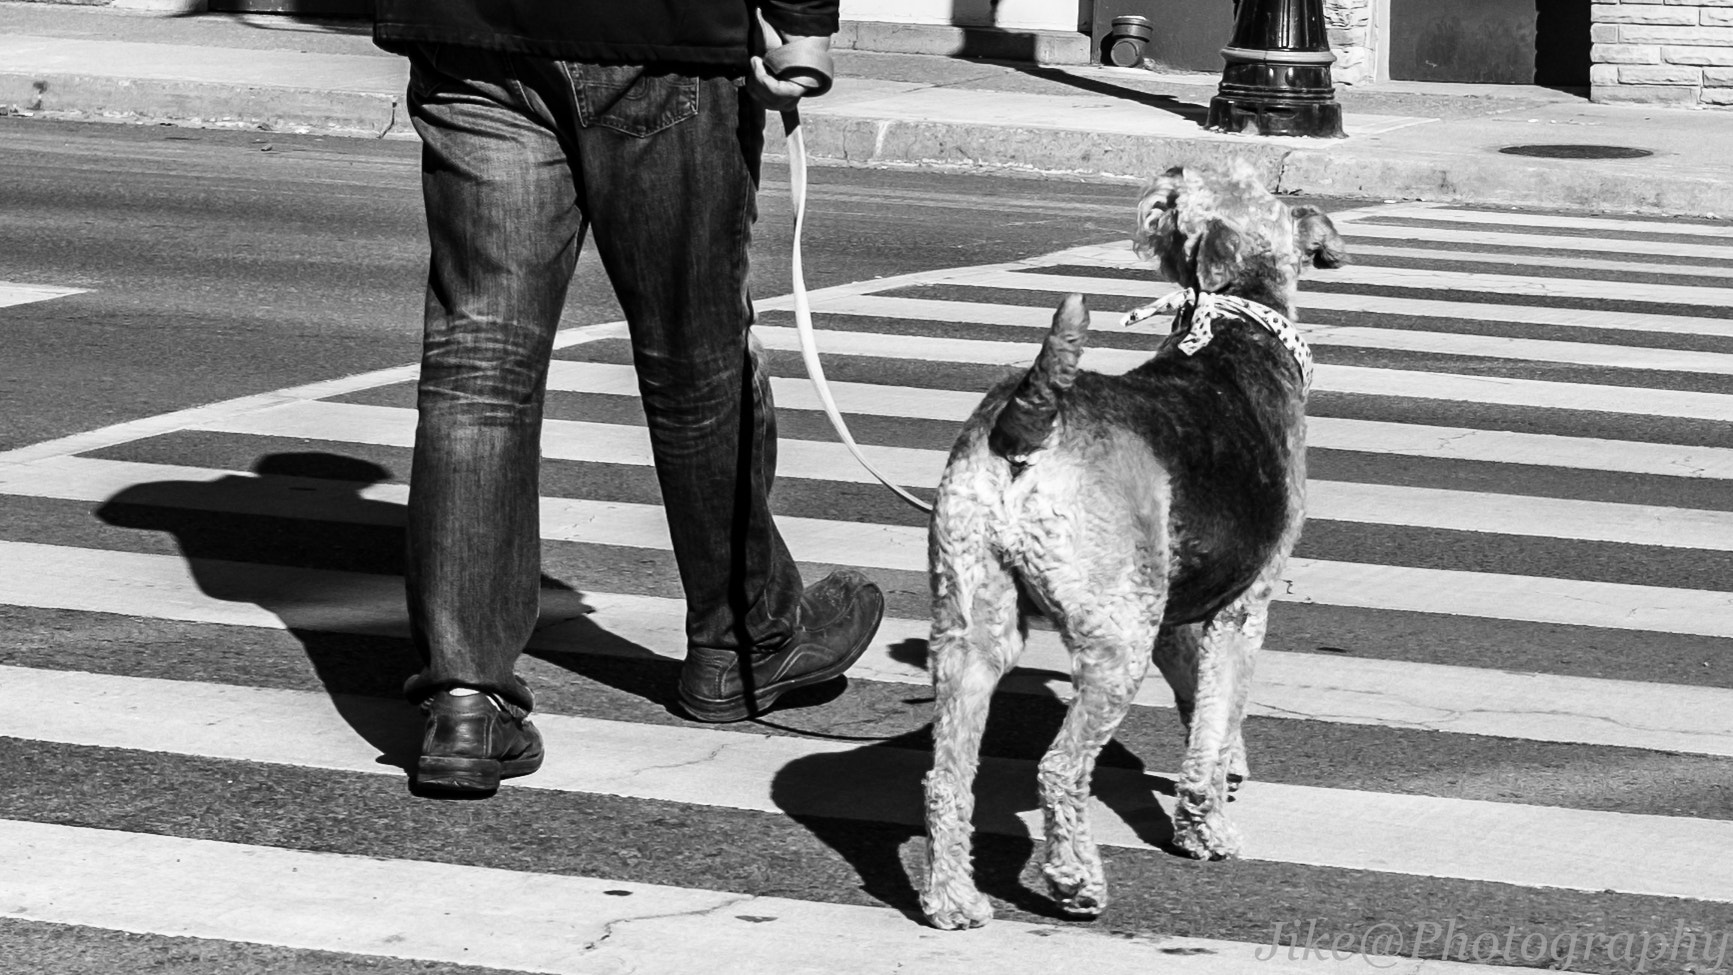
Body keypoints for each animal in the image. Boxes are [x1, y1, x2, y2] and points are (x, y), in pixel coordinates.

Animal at [921, 163, 1337, 928]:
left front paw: (1225, 778)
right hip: (1116, 642)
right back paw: (1075, 881)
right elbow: (1212, 723)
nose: (1170, 178)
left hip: (973, 621)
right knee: (1060, 769)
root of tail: (1026, 422)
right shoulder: (1244, 608)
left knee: (947, 776)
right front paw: (1207, 830)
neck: (1237, 328)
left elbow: (1200, 706)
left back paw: (951, 899)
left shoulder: (1174, 614)